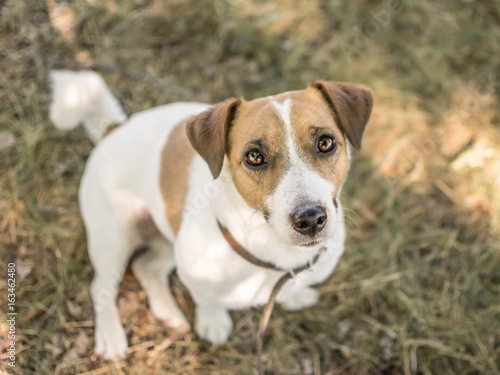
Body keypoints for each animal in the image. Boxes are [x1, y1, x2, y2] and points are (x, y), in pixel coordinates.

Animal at [49, 70, 372, 362]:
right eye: (254, 157)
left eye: (325, 143)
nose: (310, 219)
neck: (272, 251)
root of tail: (115, 128)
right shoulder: (194, 272)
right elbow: (206, 299)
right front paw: (213, 321)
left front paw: (294, 295)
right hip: (114, 238)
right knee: (101, 288)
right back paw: (111, 336)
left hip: (166, 234)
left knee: (146, 268)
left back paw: (168, 314)